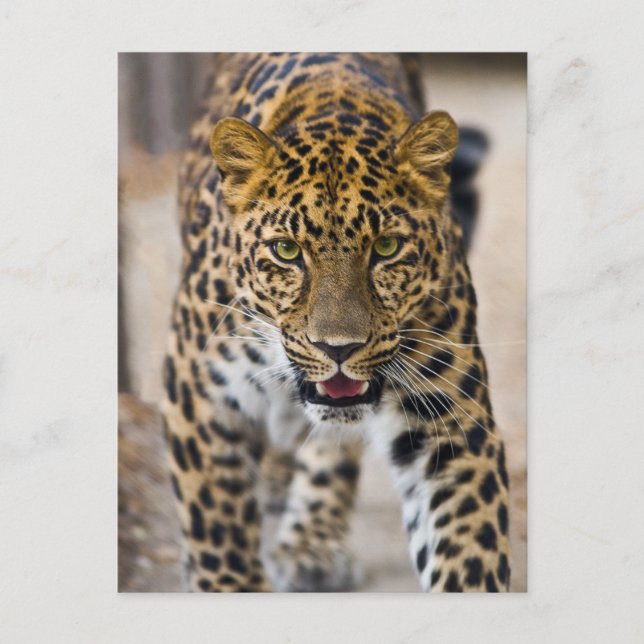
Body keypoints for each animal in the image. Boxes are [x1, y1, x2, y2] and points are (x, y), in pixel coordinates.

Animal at [161, 52, 511, 592]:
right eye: (287, 251)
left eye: (386, 247)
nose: (339, 348)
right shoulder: (200, 394)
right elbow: (218, 538)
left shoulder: (451, 426)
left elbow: (469, 554)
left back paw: (312, 542)